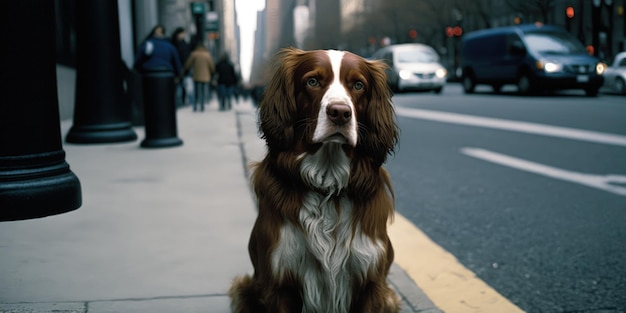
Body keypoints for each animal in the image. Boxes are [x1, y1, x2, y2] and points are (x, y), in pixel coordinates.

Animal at [229, 47, 400, 310]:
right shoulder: (279, 282)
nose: (340, 113)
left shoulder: (370, 280)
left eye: (358, 85)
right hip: (244, 288)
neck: (327, 182)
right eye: (312, 81)